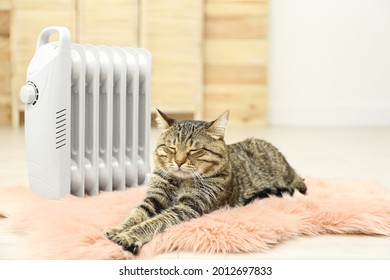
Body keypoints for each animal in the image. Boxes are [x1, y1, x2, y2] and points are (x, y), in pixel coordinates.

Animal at [105, 109, 306, 254]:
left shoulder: (189, 206)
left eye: (194, 150)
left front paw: (129, 236)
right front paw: (119, 228)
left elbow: (155, 221)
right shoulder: (154, 197)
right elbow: (137, 214)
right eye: (171, 148)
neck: (180, 181)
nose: (178, 162)